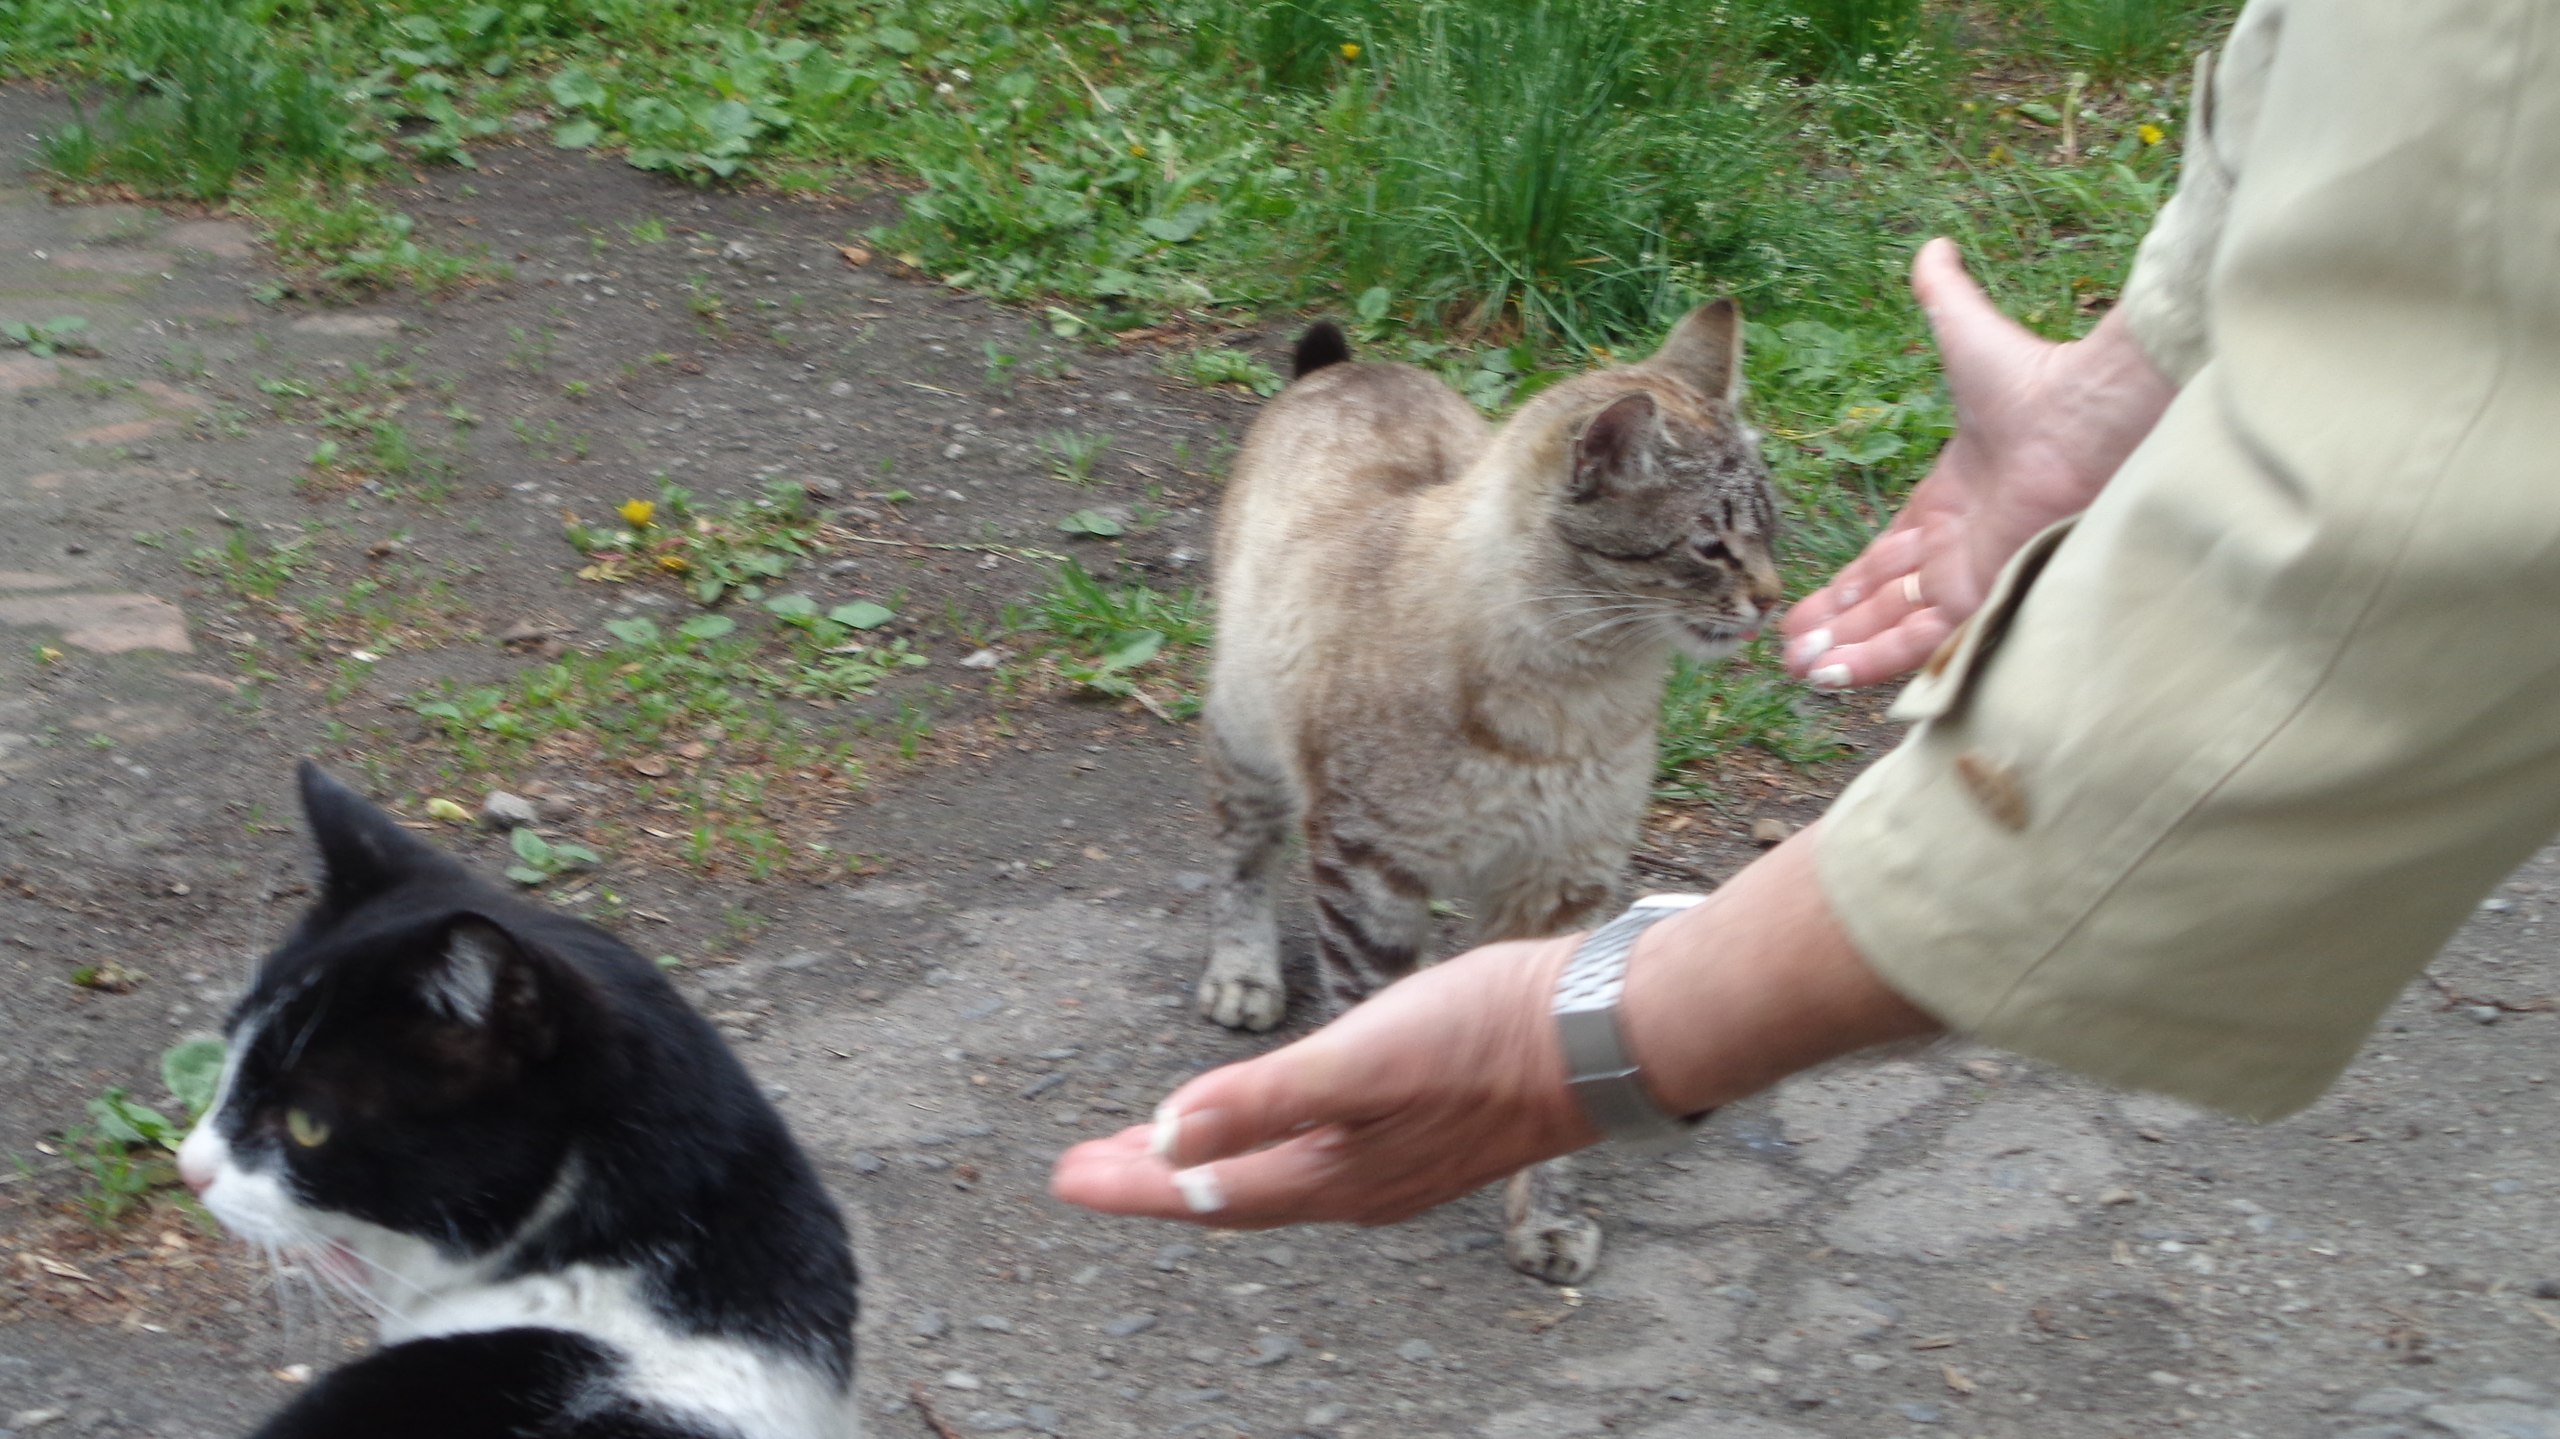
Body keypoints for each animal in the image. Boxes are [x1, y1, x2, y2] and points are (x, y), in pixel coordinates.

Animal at [1187, 304, 1771, 1275]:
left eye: (1772, 531)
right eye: (1711, 546)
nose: (1774, 598)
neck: (1580, 694)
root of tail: (1350, 368)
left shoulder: (1564, 883)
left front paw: (1543, 1216)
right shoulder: (1367, 861)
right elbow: (1365, 1005)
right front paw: (1379, 1152)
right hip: (1247, 743)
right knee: (1238, 856)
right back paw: (1243, 973)